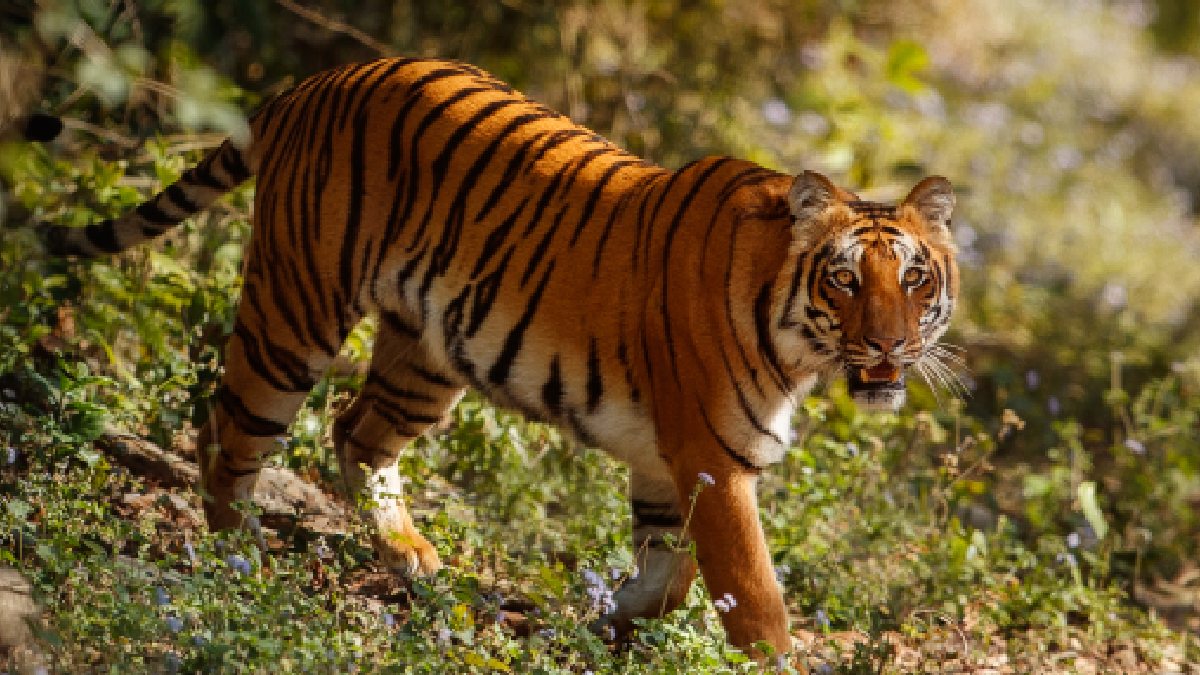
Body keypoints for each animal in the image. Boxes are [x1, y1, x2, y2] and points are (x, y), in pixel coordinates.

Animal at [43, 56, 958, 660]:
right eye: (844, 278)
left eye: (915, 278)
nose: (890, 343)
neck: (796, 339)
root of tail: (318, 80)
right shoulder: (714, 458)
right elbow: (755, 597)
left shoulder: (668, 463)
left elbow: (669, 574)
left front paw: (604, 624)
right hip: (295, 310)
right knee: (230, 435)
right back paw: (239, 566)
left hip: (428, 354)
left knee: (356, 430)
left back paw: (410, 557)